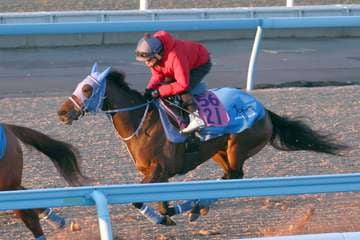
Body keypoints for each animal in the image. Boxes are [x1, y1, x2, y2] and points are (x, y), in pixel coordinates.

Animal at [57, 63, 348, 225]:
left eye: (87, 89)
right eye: (79, 85)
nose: (62, 112)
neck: (142, 121)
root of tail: (263, 109)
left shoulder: (158, 170)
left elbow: (138, 200)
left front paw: (161, 217)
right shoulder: (159, 174)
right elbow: (162, 200)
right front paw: (166, 214)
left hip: (238, 146)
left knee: (235, 176)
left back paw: (196, 206)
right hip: (217, 150)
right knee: (229, 175)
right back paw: (197, 206)